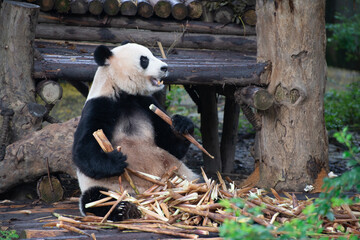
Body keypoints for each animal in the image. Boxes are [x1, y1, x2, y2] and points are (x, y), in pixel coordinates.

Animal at [71, 42, 198, 221]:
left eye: (152, 54)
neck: (124, 93)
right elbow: (83, 151)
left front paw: (182, 124)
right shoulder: (100, 104)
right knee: (96, 198)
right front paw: (116, 160)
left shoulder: (148, 105)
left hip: (180, 176)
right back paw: (124, 208)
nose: (165, 67)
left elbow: (171, 146)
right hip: (111, 187)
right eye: (144, 60)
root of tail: (147, 195)